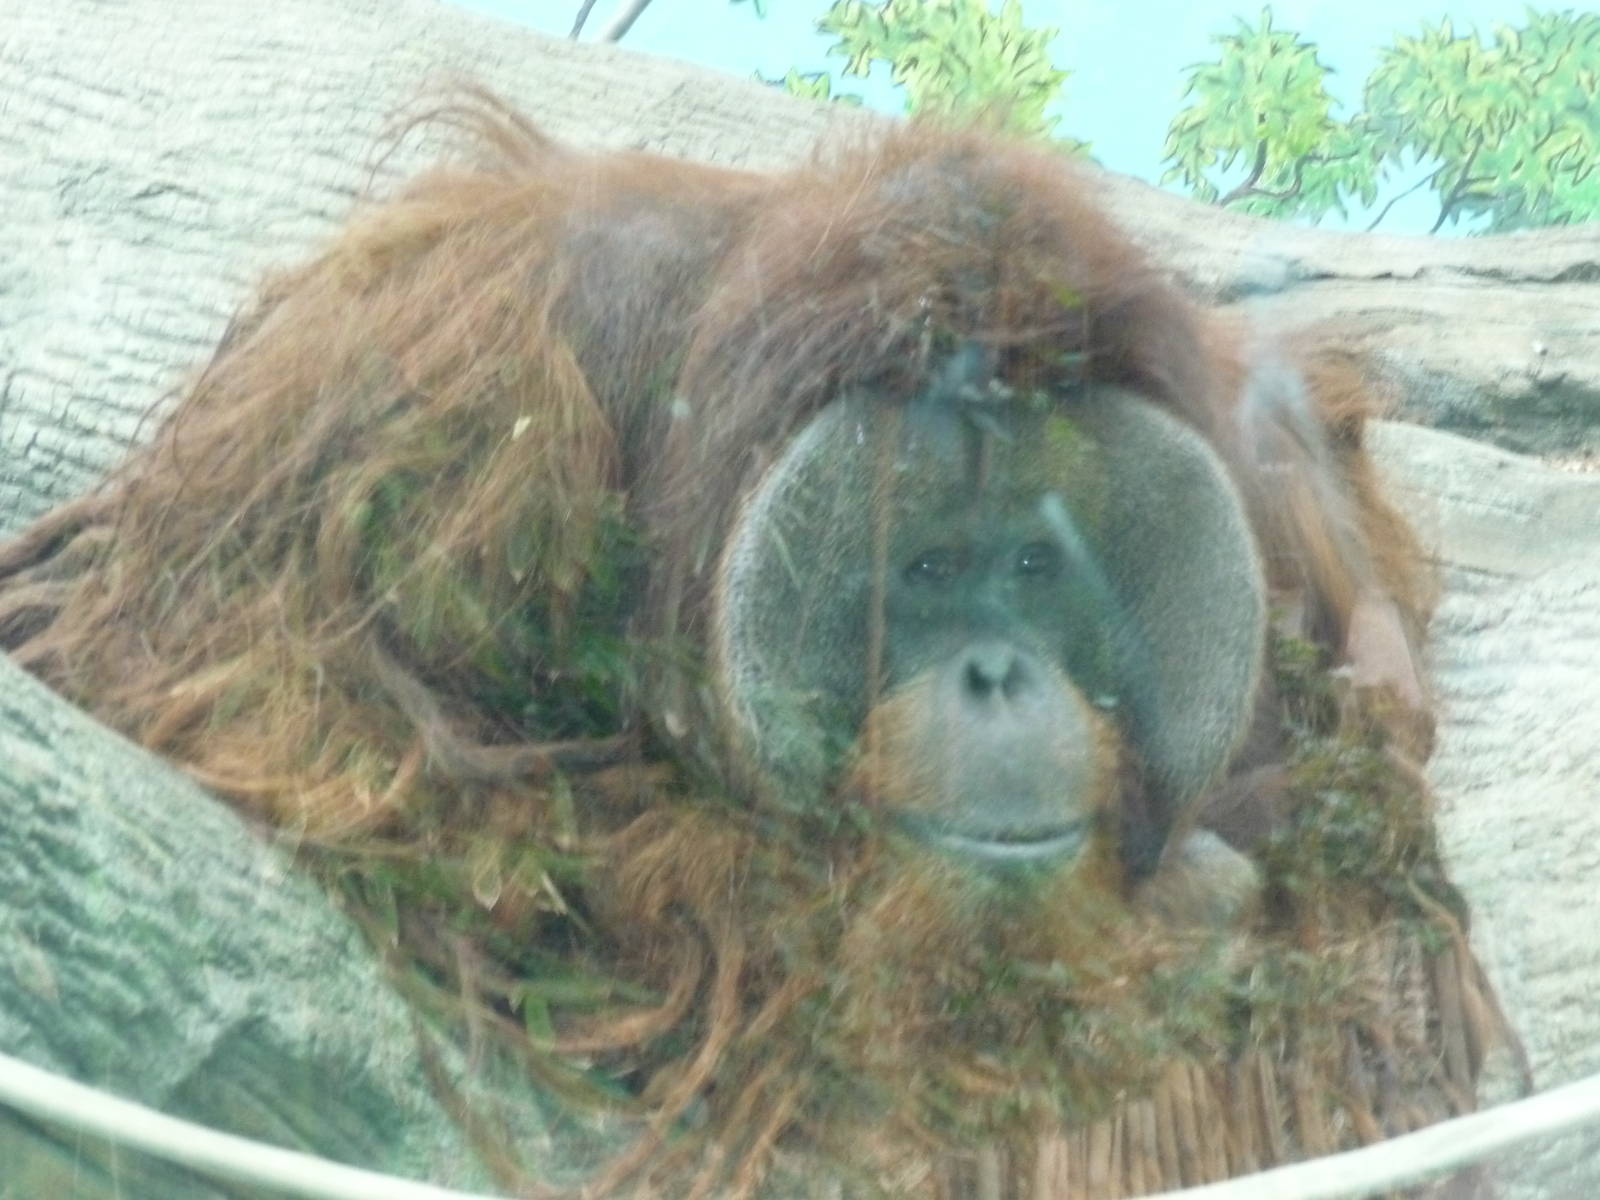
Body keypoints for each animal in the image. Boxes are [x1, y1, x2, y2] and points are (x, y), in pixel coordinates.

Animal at [0, 95, 1500, 1196]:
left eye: (1036, 564)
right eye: (927, 569)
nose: (999, 673)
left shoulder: (1283, 476)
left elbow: (1377, 961)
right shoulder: (450, 367)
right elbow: (306, 720)